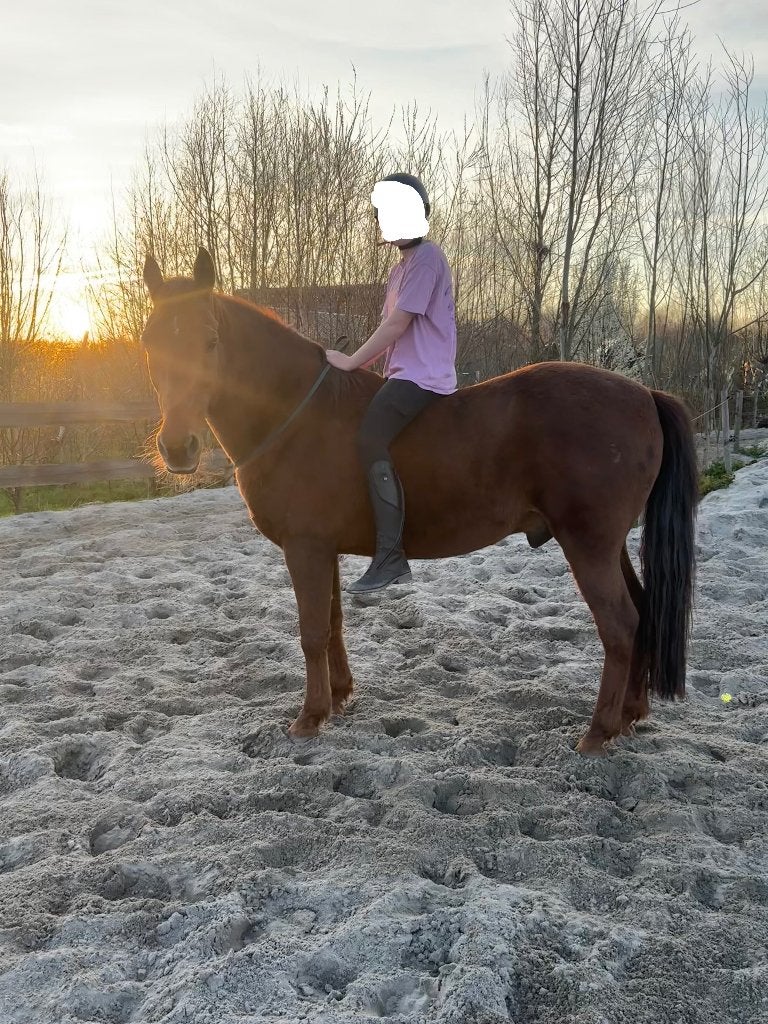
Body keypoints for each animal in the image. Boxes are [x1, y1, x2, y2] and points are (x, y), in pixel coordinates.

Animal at [140, 248, 698, 756]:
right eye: (148, 344)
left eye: (210, 341)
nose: (178, 448)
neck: (296, 415)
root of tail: (644, 394)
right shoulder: (323, 549)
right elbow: (334, 622)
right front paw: (339, 697)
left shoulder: (305, 547)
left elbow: (312, 630)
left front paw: (310, 716)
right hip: (608, 544)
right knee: (643, 611)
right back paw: (631, 714)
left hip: (589, 543)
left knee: (620, 624)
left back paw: (598, 732)